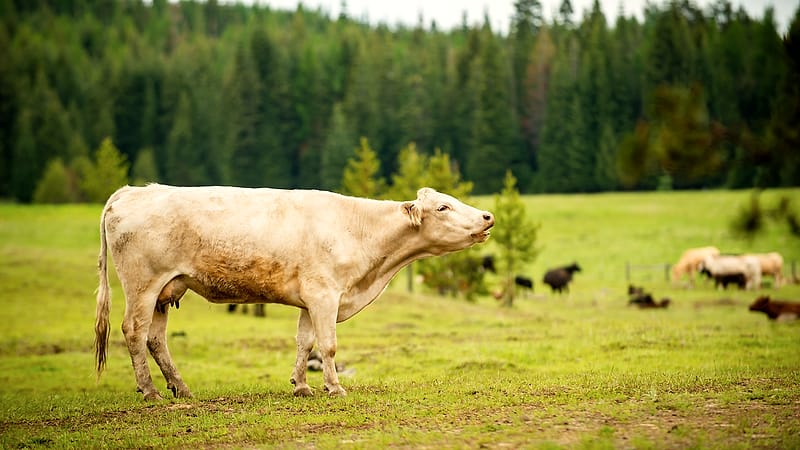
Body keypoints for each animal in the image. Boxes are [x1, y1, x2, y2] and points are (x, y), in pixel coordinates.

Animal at [94, 184, 494, 401]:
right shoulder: (325, 295)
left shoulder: (310, 299)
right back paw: (150, 391)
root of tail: (131, 191)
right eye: (443, 206)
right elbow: (328, 345)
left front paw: (301, 385)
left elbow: (306, 342)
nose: (488, 216)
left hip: (165, 290)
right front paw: (334, 388)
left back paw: (181, 388)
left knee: (156, 339)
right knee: (134, 332)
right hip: (142, 286)